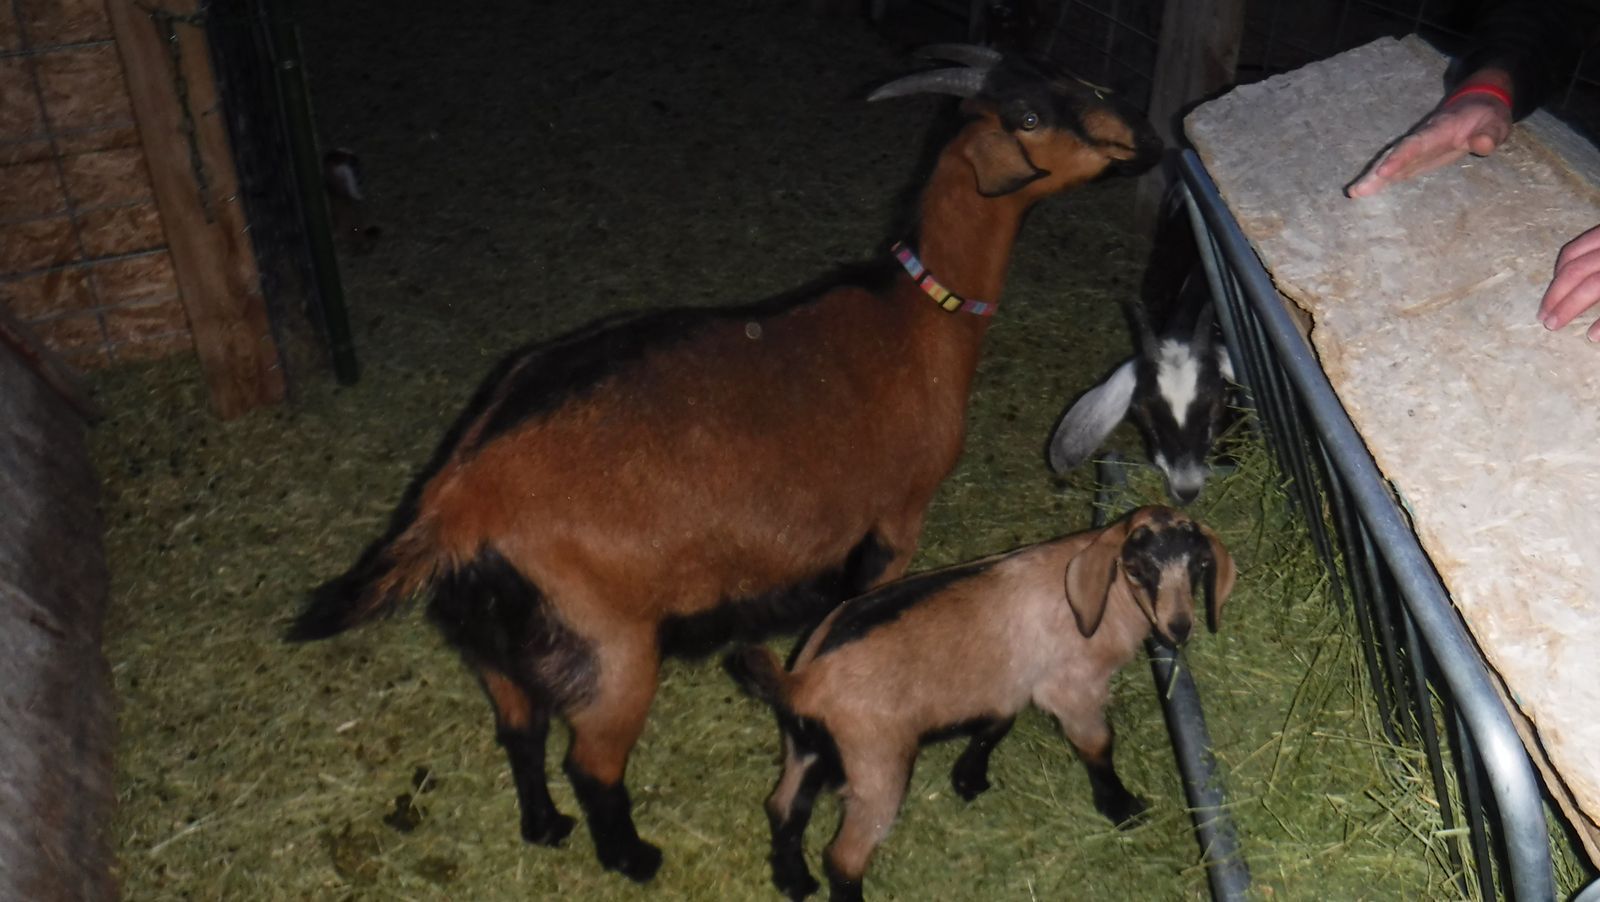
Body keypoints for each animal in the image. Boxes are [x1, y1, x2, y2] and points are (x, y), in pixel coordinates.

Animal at [286, 46, 1160, 883]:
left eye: (1068, 77)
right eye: (1030, 114)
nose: (1144, 138)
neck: (916, 317)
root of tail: (458, 499)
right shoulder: (893, 525)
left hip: (496, 647)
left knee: (520, 731)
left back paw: (544, 829)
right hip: (609, 650)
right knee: (591, 762)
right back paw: (633, 858)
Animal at [726, 506, 1236, 901]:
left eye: (1198, 566)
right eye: (1138, 568)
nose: (1179, 627)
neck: (1108, 602)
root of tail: (803, 680)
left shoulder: (1008, 684)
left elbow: (995, 725)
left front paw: (969, 779)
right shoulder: (1072, 688)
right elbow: (1097, 746)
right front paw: (1123, 809)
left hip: (806, 749)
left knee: (784, 807)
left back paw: (794, 881)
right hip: (877, 763)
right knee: (844, 857)